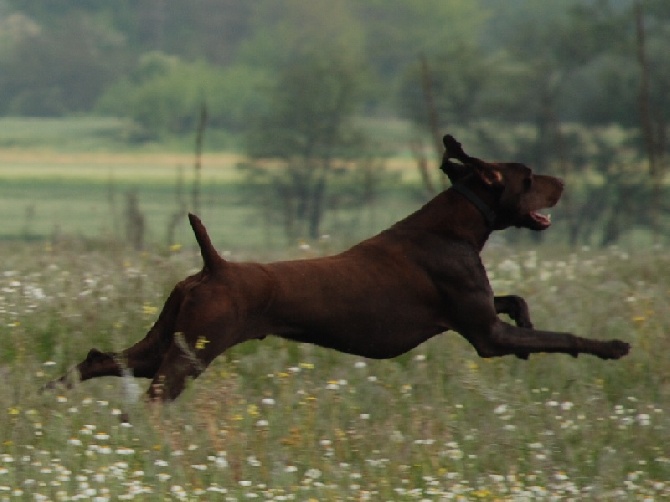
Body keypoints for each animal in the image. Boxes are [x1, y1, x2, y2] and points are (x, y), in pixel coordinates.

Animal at [46, 133, 632, 400]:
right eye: (529, 177)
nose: (565, 182)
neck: (456, 223)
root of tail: (214, 266)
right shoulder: (487, 336)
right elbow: (563, 336)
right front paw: (611, 346)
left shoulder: (483, 316)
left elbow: (517, 304)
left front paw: (530, 324)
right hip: (192, 352)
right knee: (147, 397)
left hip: (164, 341)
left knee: (102, 359)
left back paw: (54, 394)